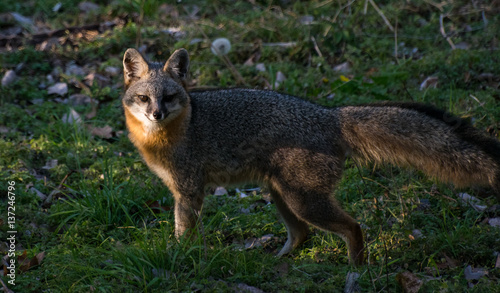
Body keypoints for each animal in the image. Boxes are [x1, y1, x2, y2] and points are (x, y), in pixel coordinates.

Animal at [121, 48, 500, 264]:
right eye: (144, 99)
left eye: (169, 97)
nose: (156, 114)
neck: (168, 135)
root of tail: (330, 115)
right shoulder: (183, 191)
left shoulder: (188, 190)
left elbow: (183, 232)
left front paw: (180, 258)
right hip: (281, 194)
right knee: (303, 234)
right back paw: (278, 260)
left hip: (302, 200)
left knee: (352, 227)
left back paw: (356, 269)